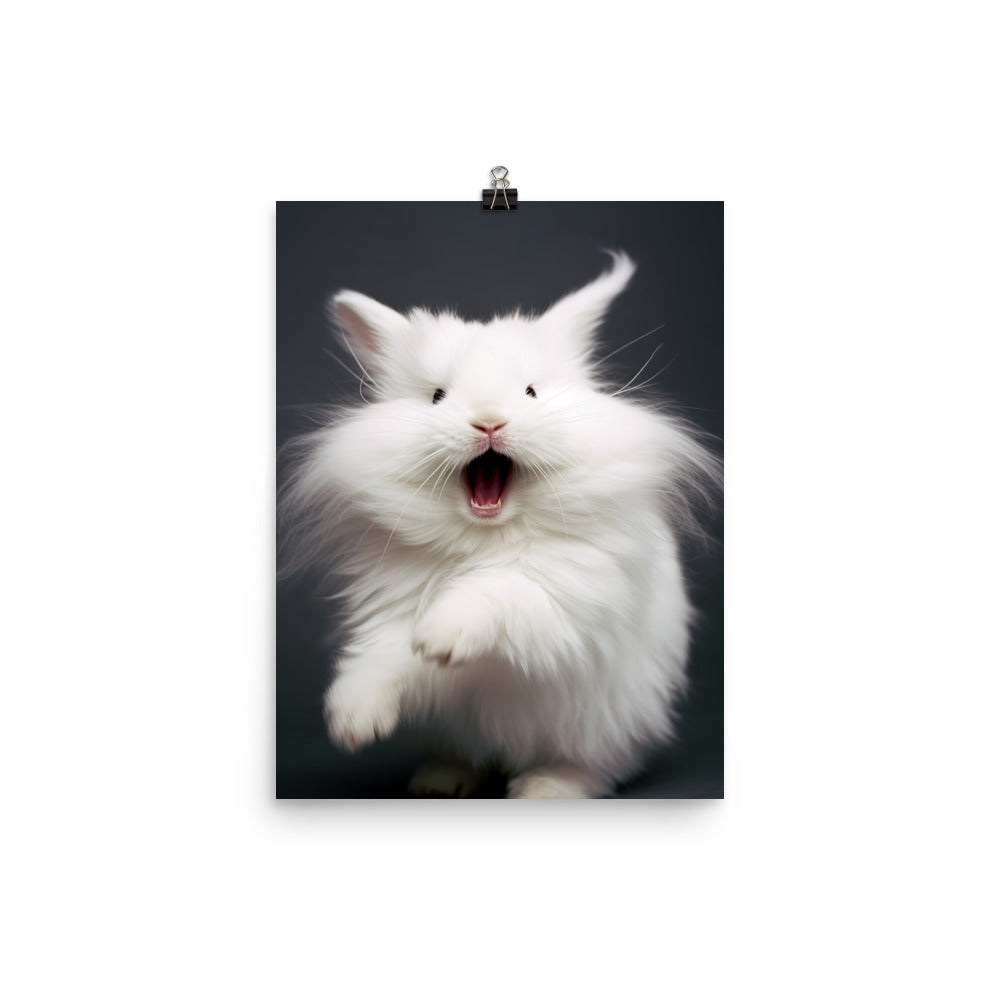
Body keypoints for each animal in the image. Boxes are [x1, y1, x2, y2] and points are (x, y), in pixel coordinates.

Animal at [279, 251, 720, 798]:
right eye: (437, 396)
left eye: (530, 392)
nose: (489, 421)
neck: (487, 536)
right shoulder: (390, 607)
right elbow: (383, 656)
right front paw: (353, 722)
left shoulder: (565, 595)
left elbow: (498, 592)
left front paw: (439, 638)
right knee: (468, 754)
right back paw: (439, 781)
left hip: (603, 727)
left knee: (592, 766)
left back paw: (544, 787)